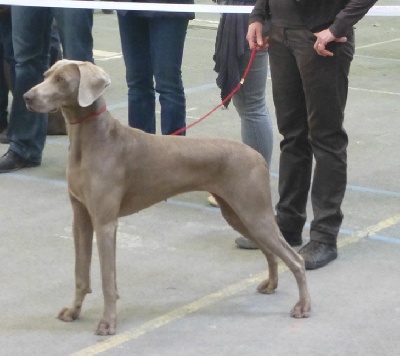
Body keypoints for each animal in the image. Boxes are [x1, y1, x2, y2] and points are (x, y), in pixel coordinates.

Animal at [22, 59, 312, 336]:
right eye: (46, 75)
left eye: (62, 80)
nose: (27, 96)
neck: (90, 141)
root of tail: (258, 156)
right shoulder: (81, 218)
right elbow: (80, 274)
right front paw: (73, 311)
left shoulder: (105, 223)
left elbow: (107, 279)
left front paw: (108, 323)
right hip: (237, 213)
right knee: (270, 252)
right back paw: (271, 284)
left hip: (254, 212)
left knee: (296, 259)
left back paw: (303, 306)